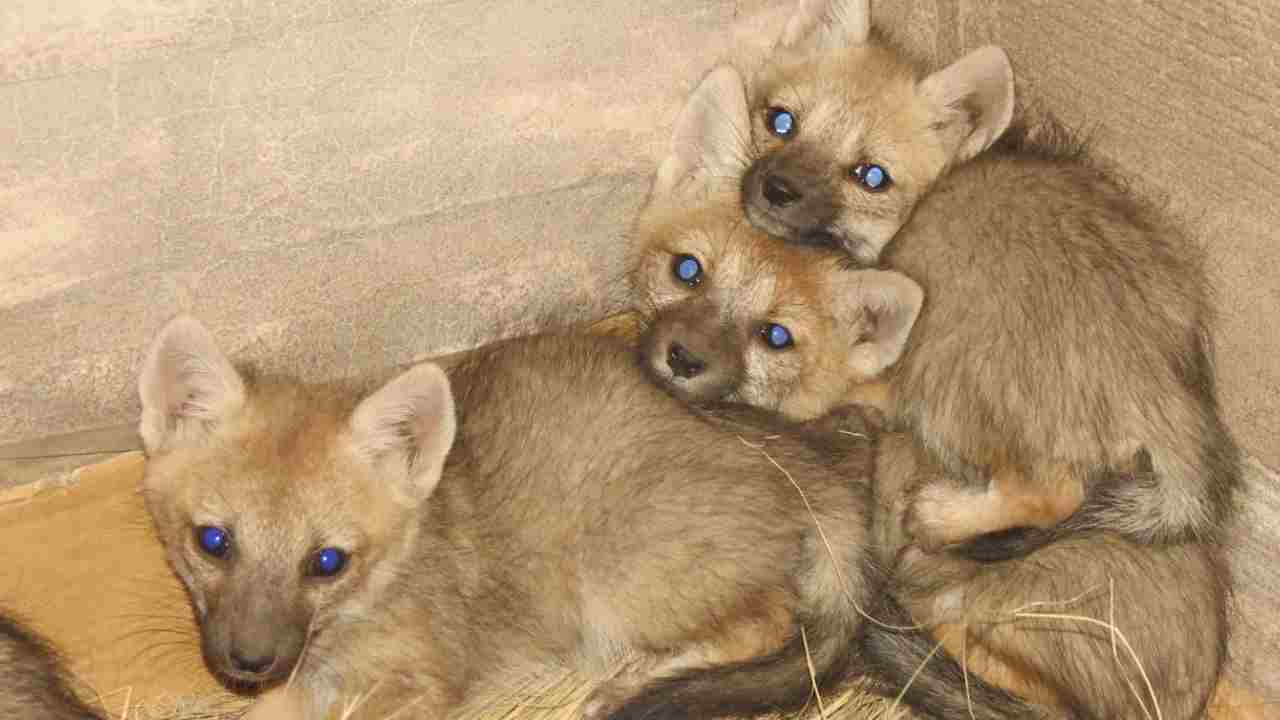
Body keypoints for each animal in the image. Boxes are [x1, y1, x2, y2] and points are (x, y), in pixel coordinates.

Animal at [141, 316, 1030, 720]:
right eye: (212, 542)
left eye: (327, 561)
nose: (248, 661)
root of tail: (811, 471)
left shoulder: (421, 682)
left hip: (612, 579)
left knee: (771, 626)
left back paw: (637, 681)